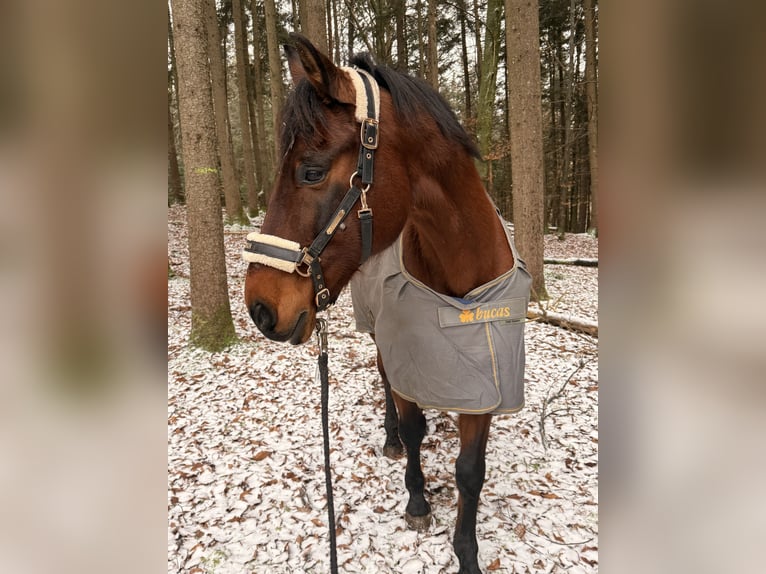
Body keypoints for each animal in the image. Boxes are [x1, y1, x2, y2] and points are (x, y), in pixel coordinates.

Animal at [243, 34, 531, 574]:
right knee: (384, 382)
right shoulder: (406, 359)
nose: (260, 308)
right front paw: (417, 499)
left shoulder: (485, 378)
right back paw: (391, 436)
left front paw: (467, 552)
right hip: (380, 336)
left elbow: (470, 470)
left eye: (310, 171)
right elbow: (414, 426)